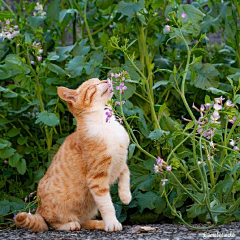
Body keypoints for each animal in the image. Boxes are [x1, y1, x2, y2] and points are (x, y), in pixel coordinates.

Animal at [15, 78, 131, 232]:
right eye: (93, 86)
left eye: (99, 80)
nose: (106, 79)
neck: (105, 122)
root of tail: (38, 209)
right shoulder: (96, 178)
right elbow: (107, 205)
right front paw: (112, 223)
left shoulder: (121, 159)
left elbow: (126, 174)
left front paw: (125, 196)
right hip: (58, 213)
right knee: (51, 224)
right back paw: (70, 225)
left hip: (90, 207)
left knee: (83, 221)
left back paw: (98, 223)